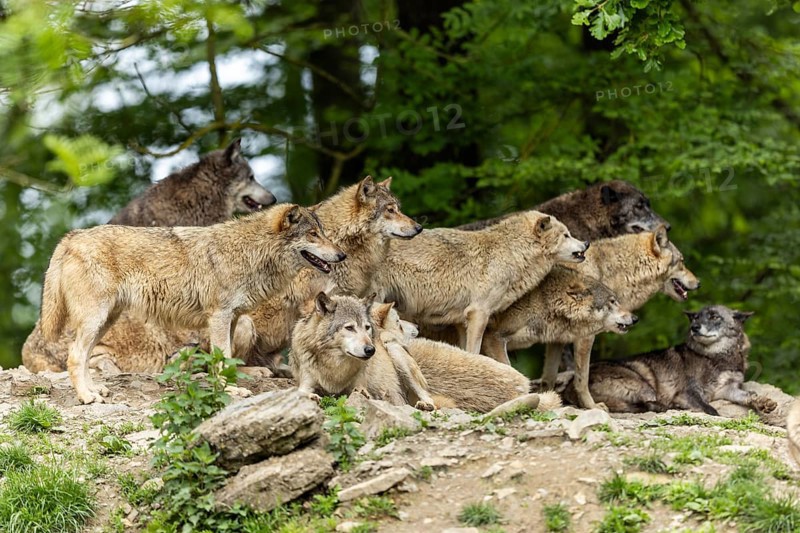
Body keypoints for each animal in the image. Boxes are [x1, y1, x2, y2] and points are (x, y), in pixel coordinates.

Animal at [40, 204, 344, 404]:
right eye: (313, 234)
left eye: (322, 232)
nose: (341, 255)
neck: (252, 252)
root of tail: (73, 236)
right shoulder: (219, 317)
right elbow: (221, 359)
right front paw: (230, 391)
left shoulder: (233, 318)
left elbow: (227, 359)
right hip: (95, 320)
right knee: (75, 356)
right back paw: (86, 397)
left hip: (105, 321)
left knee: (85, 357)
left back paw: (95, 391)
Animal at [374, 211, 589, 355]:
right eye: (566, 235)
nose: (586, 243)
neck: (511, 253)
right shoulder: (479, 313)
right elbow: (474, 352)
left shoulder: (461, 321)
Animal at [541, 226, 700, 409]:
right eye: (682, 261)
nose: (699, 283)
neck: (607, 271)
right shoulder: (585, 337)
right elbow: (582, 379)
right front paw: (592, 406)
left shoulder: (556, 339)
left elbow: (548, 377)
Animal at [568, 305, 778, 415]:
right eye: (696, 317)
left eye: (714, 316)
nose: (694, 327)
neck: (716, 356)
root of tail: (569, 388)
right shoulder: (688, 392)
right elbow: (712, 410)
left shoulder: (728, 389)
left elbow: (748, 395)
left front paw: (762, 402)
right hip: (642, 380)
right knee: (649, 403)